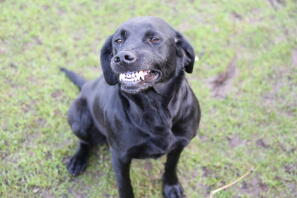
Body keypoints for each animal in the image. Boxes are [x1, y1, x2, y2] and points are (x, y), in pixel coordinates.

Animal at [61, 16, 201, 197]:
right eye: (118, 40)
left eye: (154, 39)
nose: (121, 57)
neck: (154, 108)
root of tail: (86, 85)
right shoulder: (120, 156)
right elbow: (125, 185)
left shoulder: (179, 145)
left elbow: (171, 166)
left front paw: (171, 186)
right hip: (79, 119)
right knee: (84, 142)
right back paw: (78, 160)